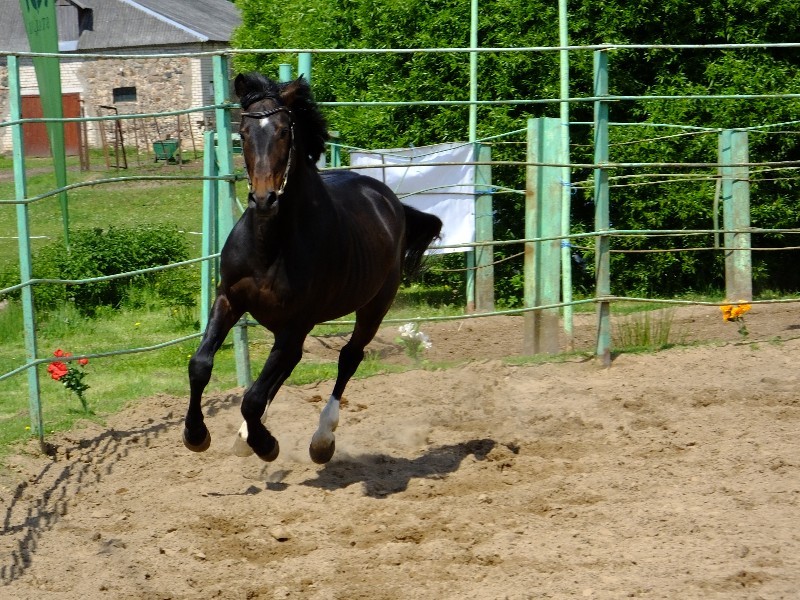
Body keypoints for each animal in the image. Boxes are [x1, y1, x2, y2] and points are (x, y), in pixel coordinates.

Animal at [184, 72, 443, 464]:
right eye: (243, 131)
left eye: (283, 132)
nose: (264, 198)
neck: (271, 246)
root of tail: (390, 200)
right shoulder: (229, 300)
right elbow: (200, 365)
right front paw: (196, 435)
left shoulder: (295, 323)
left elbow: (253, 397)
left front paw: (266, 444)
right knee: (289, 366)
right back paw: (244, 436)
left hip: (374, 305)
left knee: (349, 357)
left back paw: (321, 440)